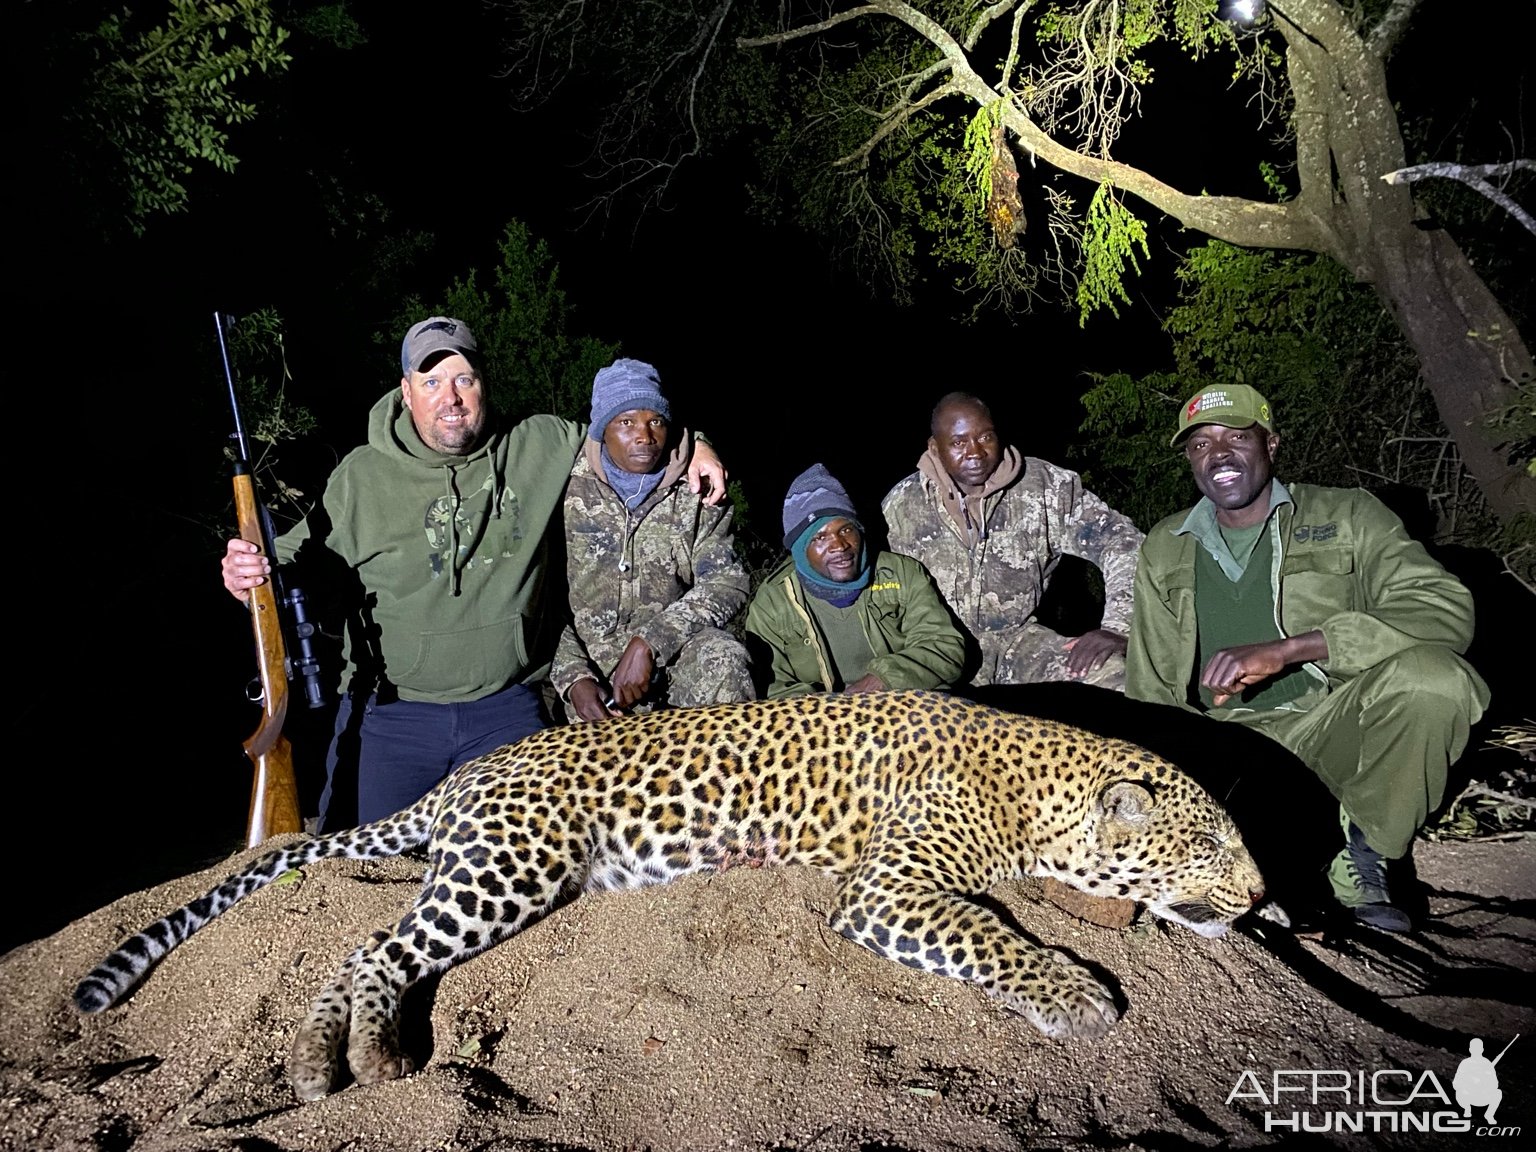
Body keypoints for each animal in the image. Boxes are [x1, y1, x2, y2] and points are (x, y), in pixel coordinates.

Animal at [77, 691, 1265, 1105]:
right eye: (1212, 839)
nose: (1259, 893)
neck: (1039, 786)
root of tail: (463, 778)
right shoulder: (887, 887)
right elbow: (986, 931)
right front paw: (1075, 996)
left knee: (359, 934)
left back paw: (319, 1064)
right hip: (509, 866)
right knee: (378, 948)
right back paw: (370, 1057)